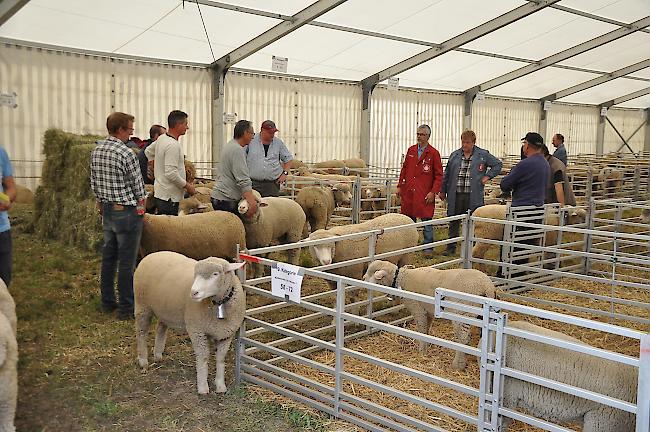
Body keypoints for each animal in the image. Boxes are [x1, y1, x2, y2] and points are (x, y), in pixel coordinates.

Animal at [133, 250, 244, 394]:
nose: (193, 292)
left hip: (164, 309)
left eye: (215, 274)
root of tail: (153, 254)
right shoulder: (197, 330)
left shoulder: (226, 334)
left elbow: (220, 358)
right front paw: (203, 387)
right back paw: (143, 361)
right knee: (141, 332)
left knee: (160, 328)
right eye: (195, 274)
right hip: (142, 305)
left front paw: (220, 385)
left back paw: (158, 354)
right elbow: (203, 357)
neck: (218, 303)